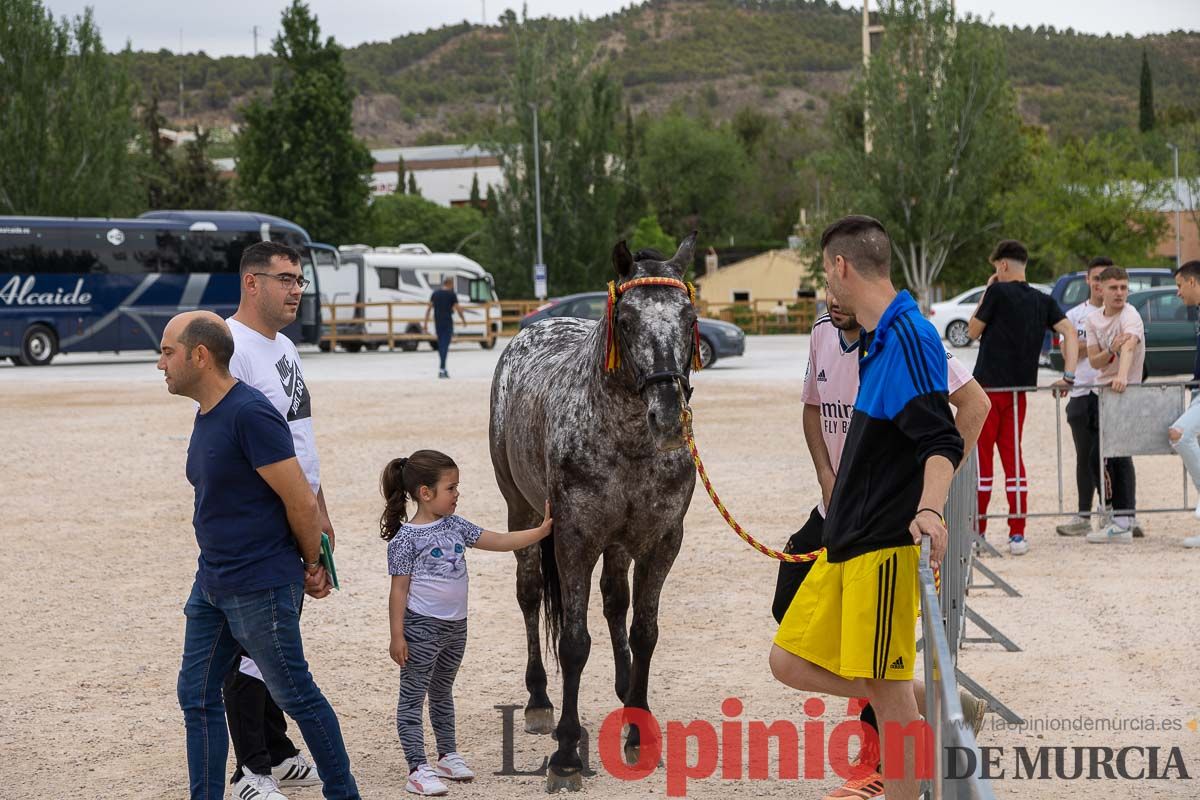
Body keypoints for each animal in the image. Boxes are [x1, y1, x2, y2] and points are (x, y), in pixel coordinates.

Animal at [484, 235, 700, 791]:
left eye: (689, 316)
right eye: (626, 319)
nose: (669, 416)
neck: (628, 441)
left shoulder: (660, 542)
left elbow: (644, 632)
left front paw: (638, 732)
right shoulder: (575, 539)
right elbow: (575, 643)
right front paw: (565, 752)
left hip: (619, 542)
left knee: (614, 601)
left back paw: (625, 687)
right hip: (522, 512)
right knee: (530, 595)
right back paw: (539, 700)